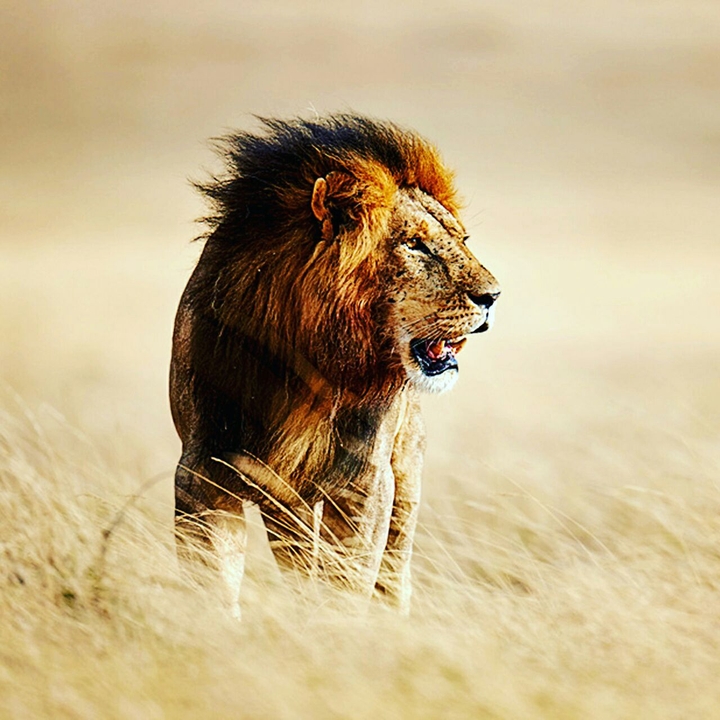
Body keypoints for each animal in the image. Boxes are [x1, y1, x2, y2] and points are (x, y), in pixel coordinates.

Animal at [170, 113, 500, 616]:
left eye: (462, 240)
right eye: (415, 245)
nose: (494, 296)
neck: (305, 360)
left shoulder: (364, 479)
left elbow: (346, 581)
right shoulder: (203, 468)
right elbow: (213, 583)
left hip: (404, 476)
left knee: (391, 570)